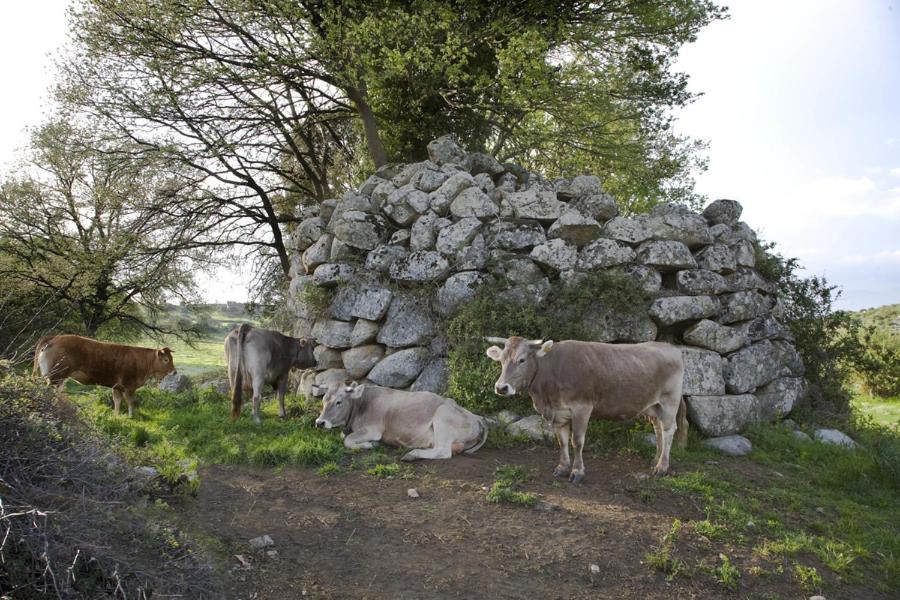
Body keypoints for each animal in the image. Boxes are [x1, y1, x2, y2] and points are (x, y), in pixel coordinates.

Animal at [33, 332, 178, 418]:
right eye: (166, 360)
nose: (175, 372)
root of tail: (55, 337)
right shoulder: (129, 386)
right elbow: (131, 402)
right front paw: (131, 417)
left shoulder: (117, 387)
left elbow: (117, 401)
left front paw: (116, 416)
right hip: (56, 377)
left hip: (59, 379)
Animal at [314, 380, 488, 460]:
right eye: (323, 399)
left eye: (339, 402)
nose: (319, 422)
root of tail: (477, 417)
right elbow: (344, 437)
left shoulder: (373, 429)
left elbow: (348, 440)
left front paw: (368, 444)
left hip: (442, 416)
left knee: (443, 451)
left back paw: (412, 454)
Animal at [486, 336, 688, 480]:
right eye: (501, 360)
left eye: (521, 360)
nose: (501, 387)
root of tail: (670, 347)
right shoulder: (558, 413)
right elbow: (562, 441)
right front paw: (562, 468)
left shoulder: (582, 408)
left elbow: (577, 441)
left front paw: (577, 472)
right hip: (653, 407)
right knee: (658, 430)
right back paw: (655, 461)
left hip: (669, 401)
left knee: (669, 430)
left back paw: (662, 467)